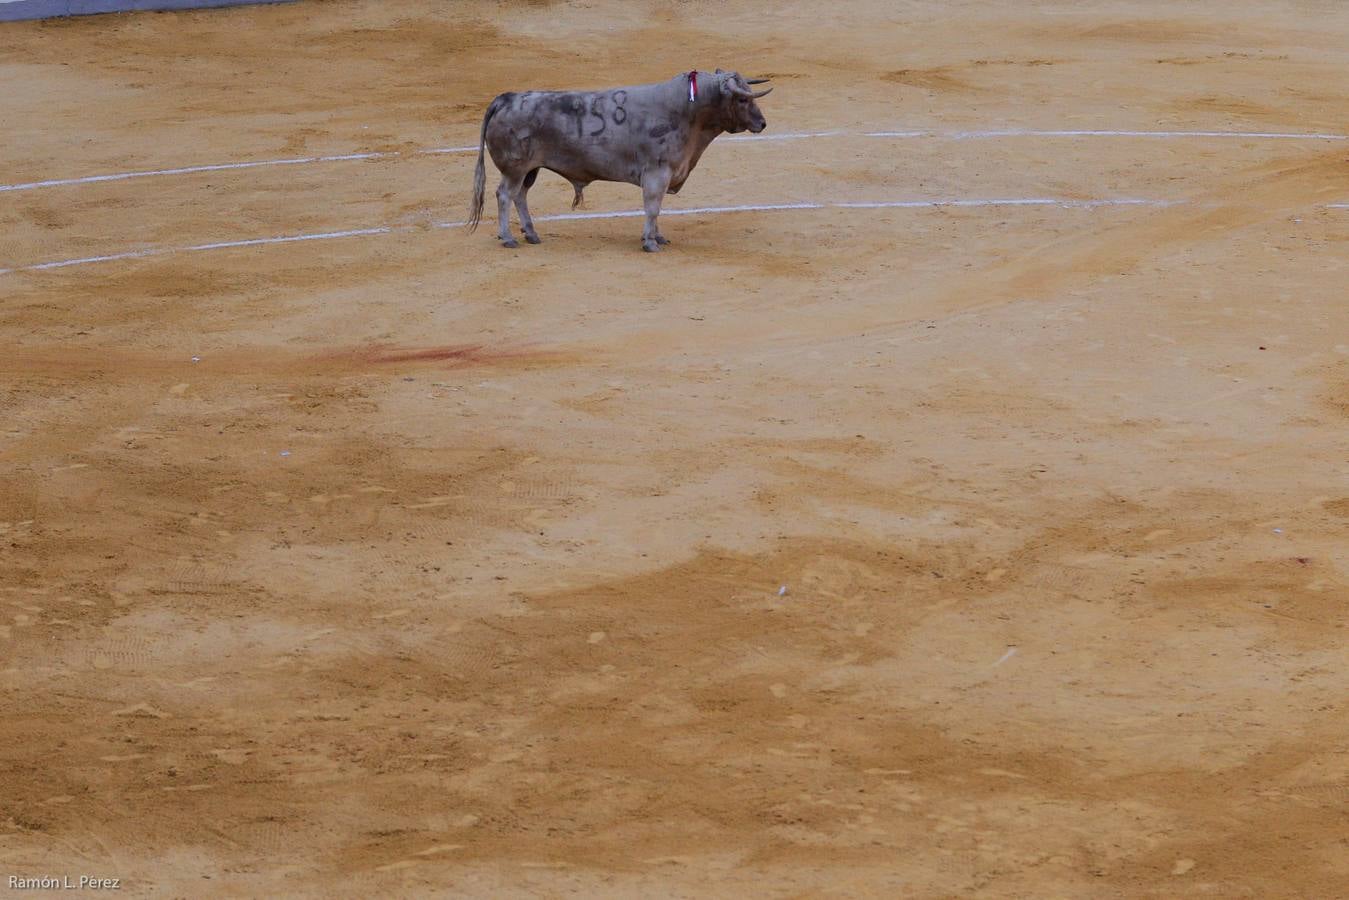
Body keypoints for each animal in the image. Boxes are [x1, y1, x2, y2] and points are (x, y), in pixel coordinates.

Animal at [469, 68, 777, 252]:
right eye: (742, 100)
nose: (762, 123)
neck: (688, 113)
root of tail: (505, 98)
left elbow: (657, 209)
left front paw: (658, 237)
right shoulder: (657, 173)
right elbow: (652, 207)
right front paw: (650, 242)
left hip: (530, 169)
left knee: (520, 195)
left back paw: (531, 234)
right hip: (515, 168)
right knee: (504, 194)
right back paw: (508, 237)